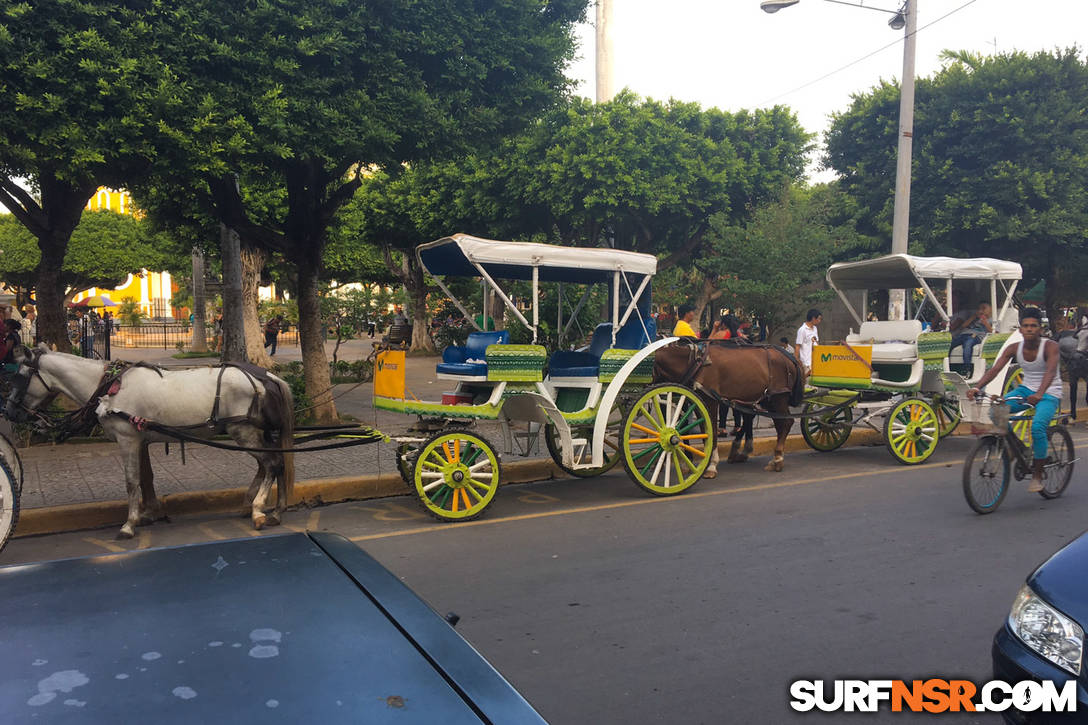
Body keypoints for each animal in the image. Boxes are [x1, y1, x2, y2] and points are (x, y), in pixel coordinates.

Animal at [5, 343, 293, 535]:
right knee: (272, 464)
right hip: (257, 432)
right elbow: (146, 479)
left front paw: (129, 523)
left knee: (271, 464)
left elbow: (131, 481)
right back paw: (273, 509)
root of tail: (268, 377)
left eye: (18, 376)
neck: (107, 388)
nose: (8, 411)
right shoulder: (139, 439)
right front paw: (149, 513)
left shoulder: (127, 439)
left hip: (244, 432)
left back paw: (258, 509)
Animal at [648, 339, 805, 474]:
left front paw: (711, 465)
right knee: (775, 422)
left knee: (786, 423)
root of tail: (790, 358)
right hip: (767, 398)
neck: (694, 362)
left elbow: (711, 429)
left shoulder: (710, 400)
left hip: (779, 397)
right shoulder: (698, 401)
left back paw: (777, 458)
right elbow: (704, 430)